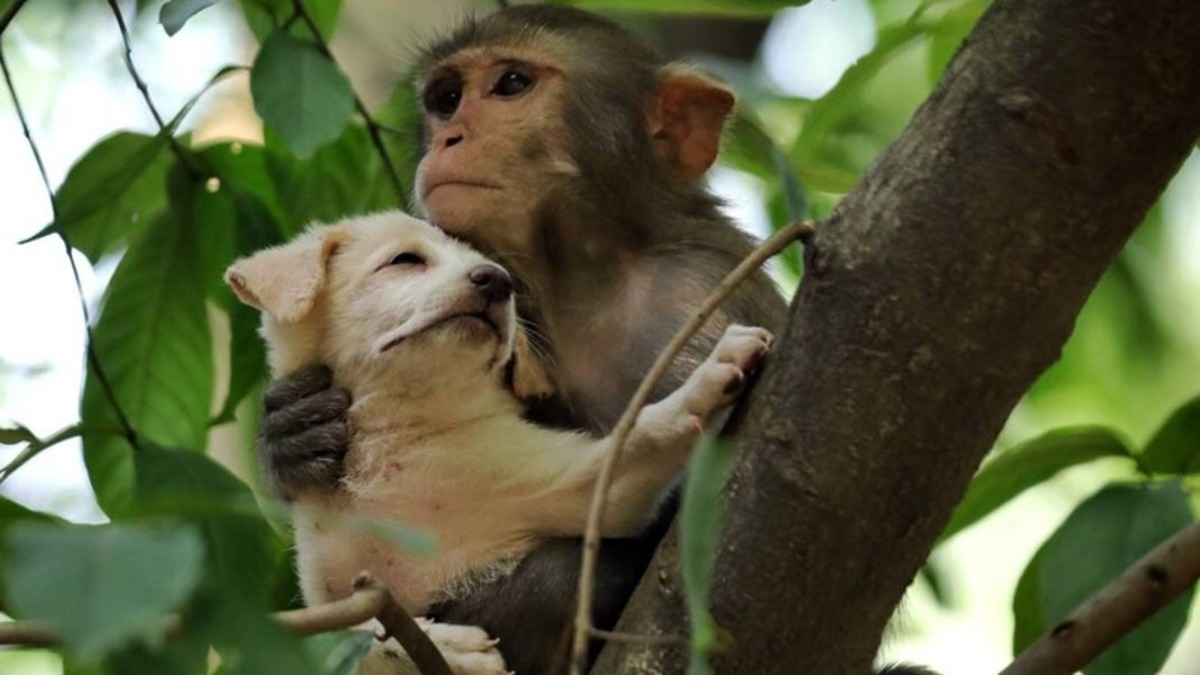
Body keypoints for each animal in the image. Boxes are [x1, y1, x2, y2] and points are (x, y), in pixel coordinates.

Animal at [224, 210, 768, 667]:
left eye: (497, 273)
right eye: (405, 260)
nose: (496, 281)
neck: (394, 436)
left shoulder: (587, 488)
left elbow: (640, 435)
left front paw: (711, 373)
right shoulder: (335, 593)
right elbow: (356, 632)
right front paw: (453, 648)